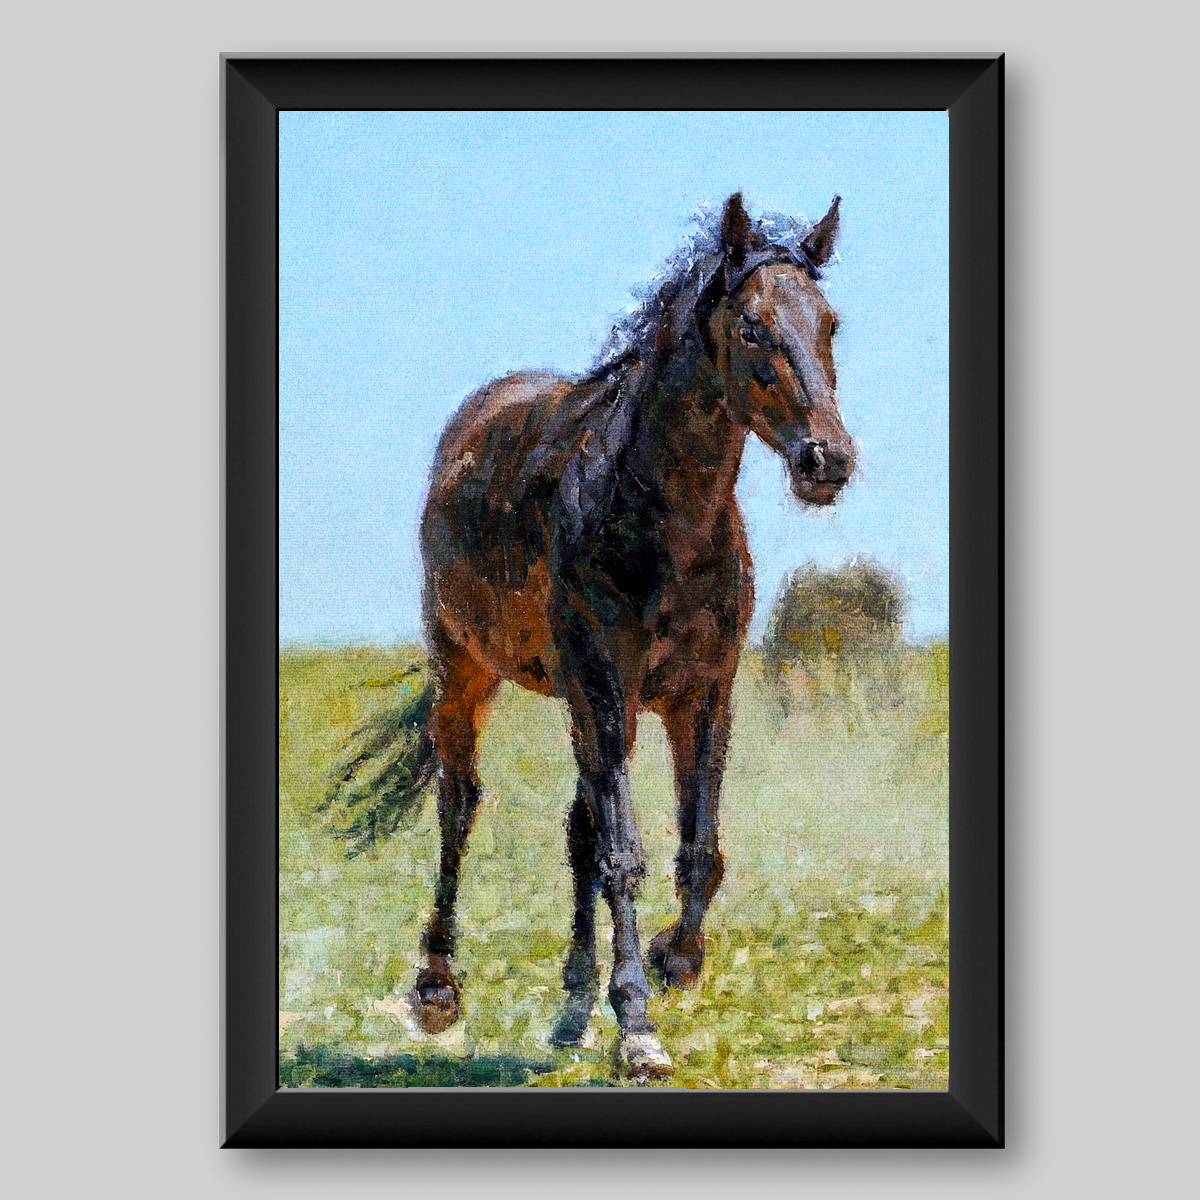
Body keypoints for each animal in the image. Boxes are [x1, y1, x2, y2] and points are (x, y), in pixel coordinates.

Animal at [413, 192, 855, 1078]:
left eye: (829, 323)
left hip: (577, 703)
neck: (660, 515)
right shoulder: (608, 688)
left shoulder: (703, 695)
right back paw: (438, 987)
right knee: (459, 803)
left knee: (576, 829)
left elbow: (698, 849)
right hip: (469, 667)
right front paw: (639, 1029)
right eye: (751, 326)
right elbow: (624, 854)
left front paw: (671, 962)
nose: (828, 460)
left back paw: (572, 1012)